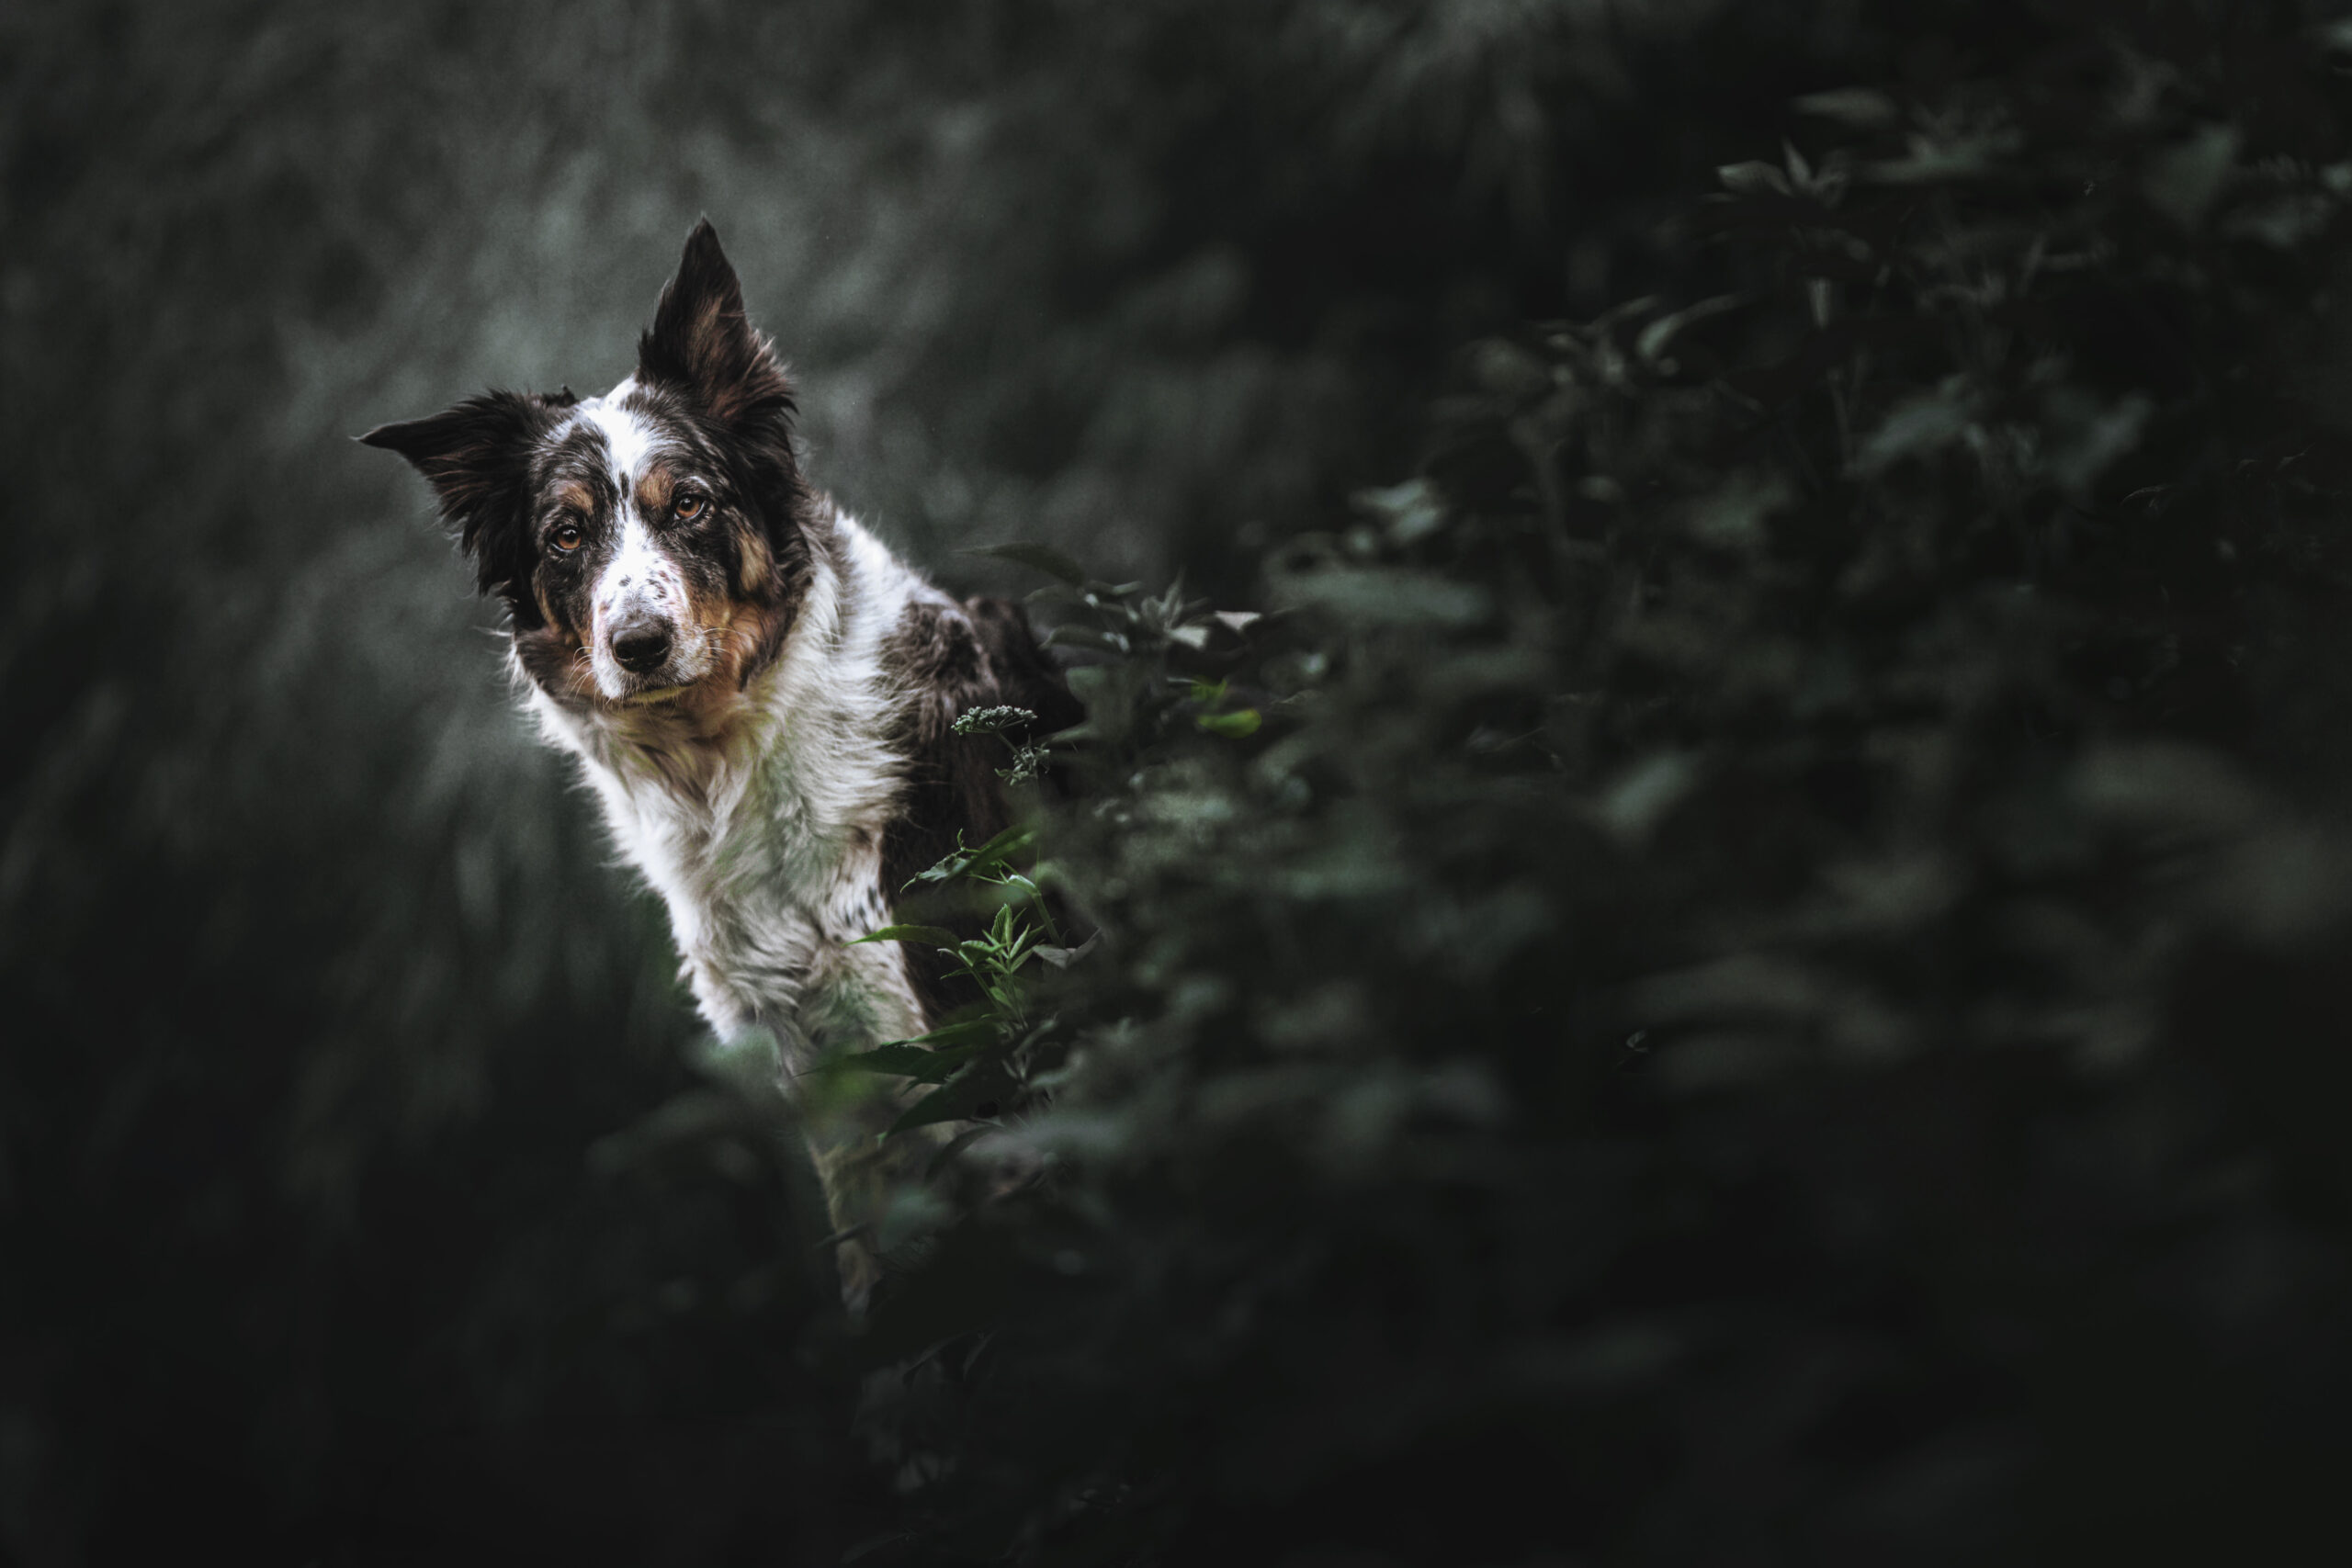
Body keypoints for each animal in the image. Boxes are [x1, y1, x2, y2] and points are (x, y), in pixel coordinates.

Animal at [364, 215, 1077, 1306]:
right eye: (565, 534)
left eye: (690, 505)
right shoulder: (826, 1079)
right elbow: (873, 1271)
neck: (720, 762)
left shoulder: (958, 1031)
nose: (638, 644)